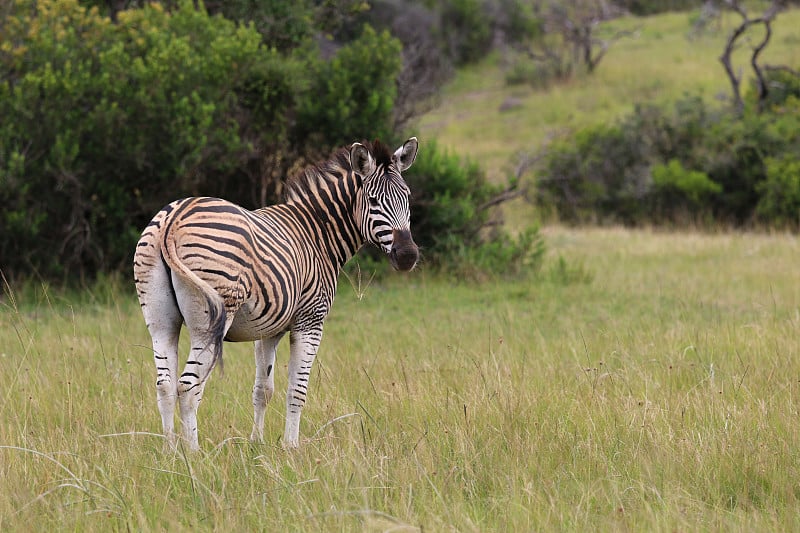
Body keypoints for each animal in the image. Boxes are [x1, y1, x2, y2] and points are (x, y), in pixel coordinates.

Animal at [133, 137, 418, 448]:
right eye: (374, 201)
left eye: (408, 198)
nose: (408, 256)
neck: (318, 235)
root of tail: (173, 218)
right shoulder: (310, 322)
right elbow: (297, 390)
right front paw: (291, 447)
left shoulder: (267, 330)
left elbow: (263, 389)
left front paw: (256, 445)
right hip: (209, 320)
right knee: (188, 386)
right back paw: (192, 454)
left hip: (160, 318)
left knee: (165, 385)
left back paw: (170, 450)